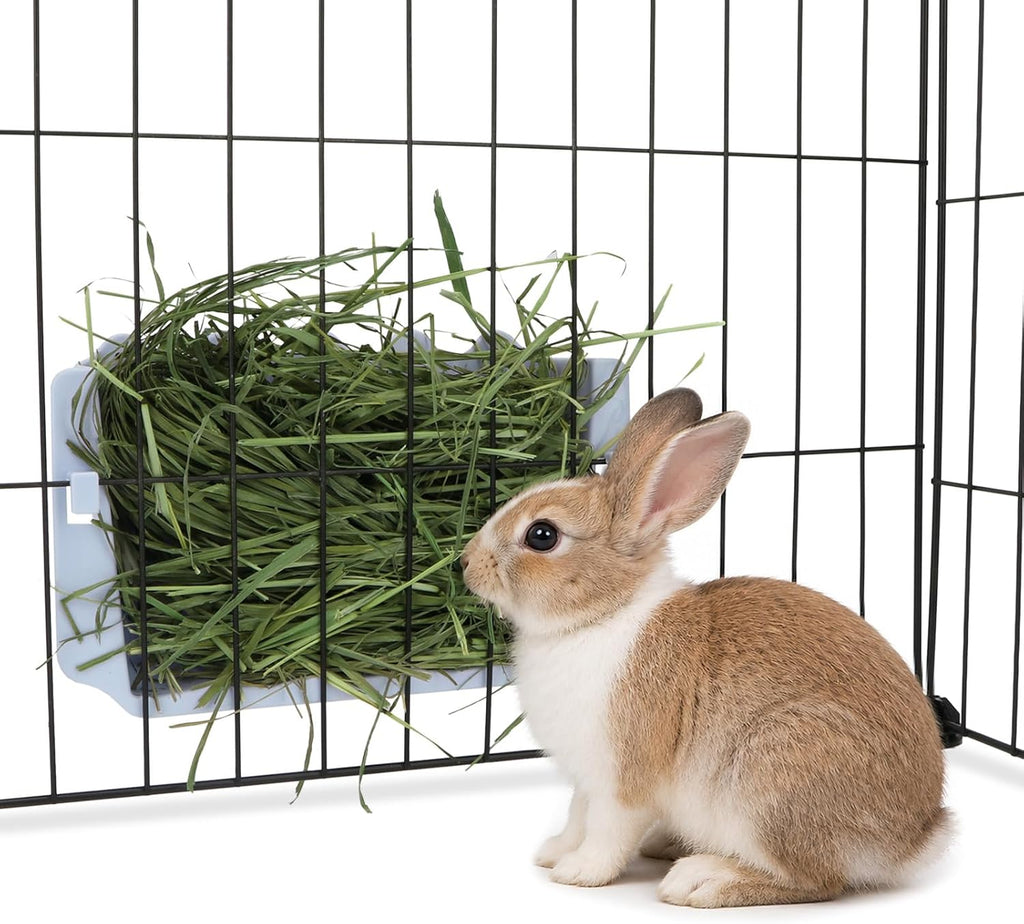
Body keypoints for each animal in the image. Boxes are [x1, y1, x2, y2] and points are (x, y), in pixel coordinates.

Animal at [460, 387, 949, 908]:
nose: (466, 563)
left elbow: (608, 830)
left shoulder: (624, 778)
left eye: (542, 535)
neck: (605, 613)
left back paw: (703, 880)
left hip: (774, 775)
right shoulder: (585, 781)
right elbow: (577, 816)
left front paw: (578, 872)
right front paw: (553, 852)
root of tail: (915, 839)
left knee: (817, 880)